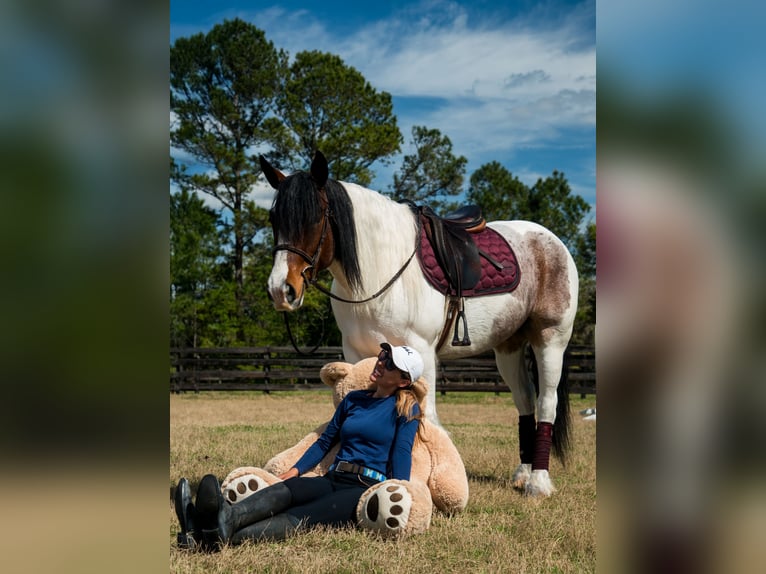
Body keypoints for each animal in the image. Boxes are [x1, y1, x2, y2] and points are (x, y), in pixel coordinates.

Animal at [260, 153, 580, 500]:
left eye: (315, 218)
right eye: (274, 219)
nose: (280, 290)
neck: (381, 269)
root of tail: (553, 243)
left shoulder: (421, 352)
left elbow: (427, 418)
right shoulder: (357, 352)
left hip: (550, 340)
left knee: (546, 402)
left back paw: (538, 482)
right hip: (508, 347)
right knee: (524, 401)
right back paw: (522, 474)